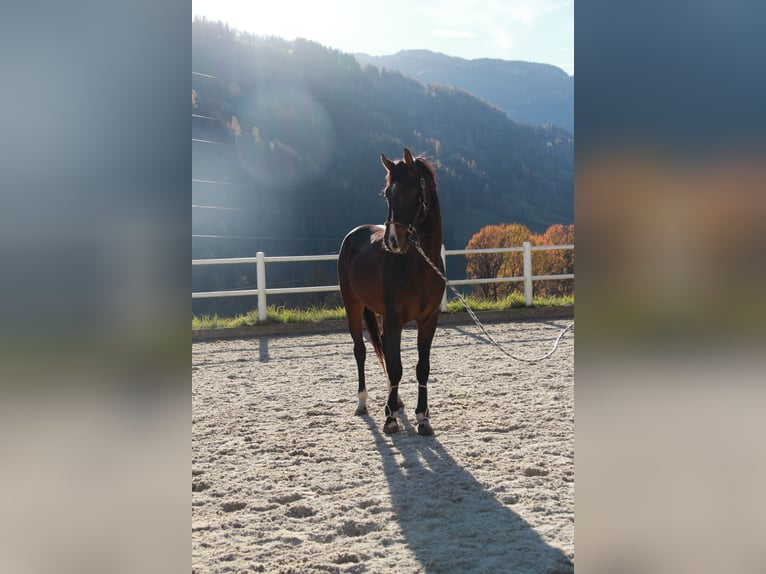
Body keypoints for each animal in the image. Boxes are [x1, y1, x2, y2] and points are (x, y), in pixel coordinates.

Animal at [340, 148, 448, 436]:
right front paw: (390, 420)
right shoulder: (394, 319)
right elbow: (396, 366)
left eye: (411, 191)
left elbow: (422, 368)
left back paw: (395, 400)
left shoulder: (428, 320)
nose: (392, 241)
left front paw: (423, 418)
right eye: (387, 193)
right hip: (353, 307)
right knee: (361, 351)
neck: (419, 267)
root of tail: (354, 234)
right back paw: (363, 402)